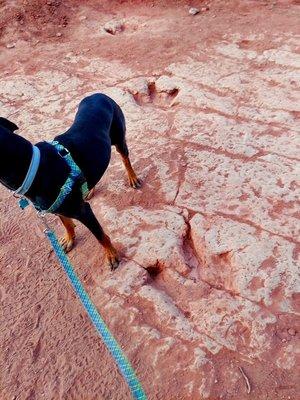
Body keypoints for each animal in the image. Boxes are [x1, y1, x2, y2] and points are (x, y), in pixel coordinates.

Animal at [0, 93, 141, 268]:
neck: (32, 167)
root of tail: (99, 94)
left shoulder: (83, 211)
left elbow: (100, 236)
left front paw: (111, 254)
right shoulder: (55, 207)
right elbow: (66, 223)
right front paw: (69, 239)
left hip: (119, 138)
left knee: (125, 158)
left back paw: (132, 177)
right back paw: (89, 189)